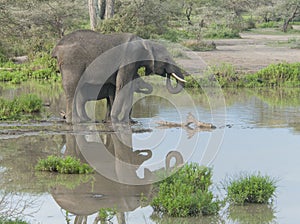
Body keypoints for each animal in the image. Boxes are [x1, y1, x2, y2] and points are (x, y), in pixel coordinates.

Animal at [52, 29, 186, 123]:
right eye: (166, 59)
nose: (168, 75)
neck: (145, 42)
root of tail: (56, 48)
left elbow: (128, 86)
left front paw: (124, 121)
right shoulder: (129, 58)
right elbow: (122, 84)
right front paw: (115, 120)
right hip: (72, 62)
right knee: (72, 88)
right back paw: (75, 121)